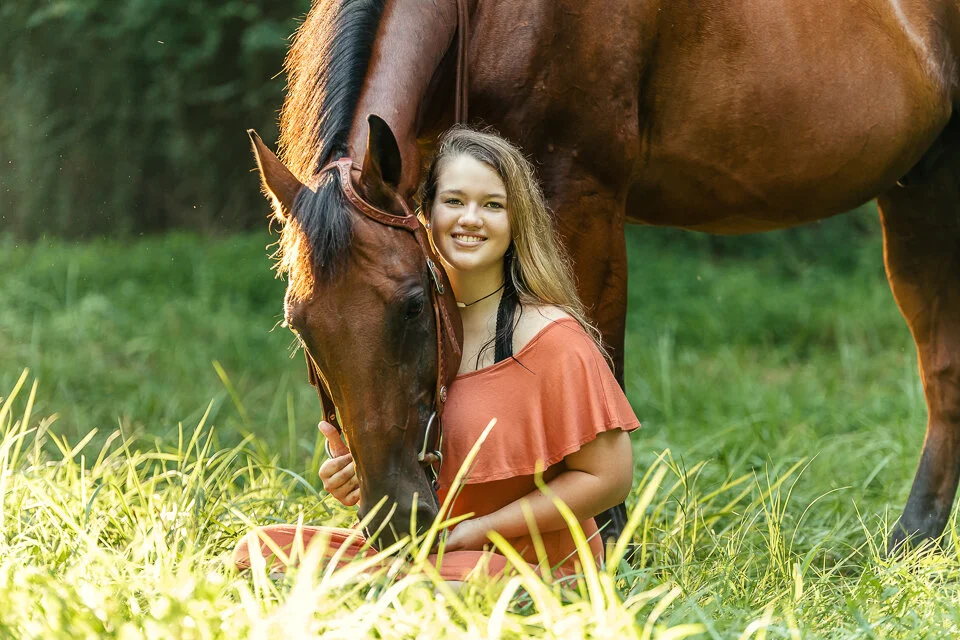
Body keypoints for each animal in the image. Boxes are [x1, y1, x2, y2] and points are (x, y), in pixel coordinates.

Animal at [251, 0, 960, 553]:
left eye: (413, 306)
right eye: (300, 326)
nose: (396, 518)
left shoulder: (583, 196)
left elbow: (599, 358)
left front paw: (607, 539)